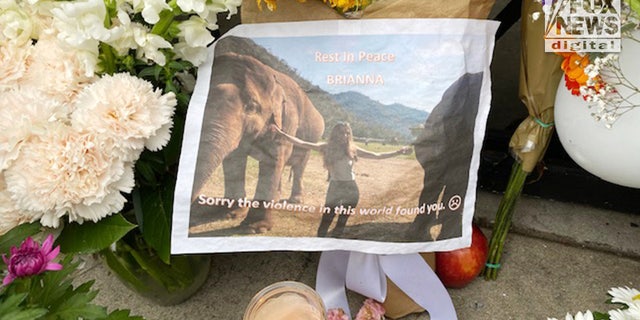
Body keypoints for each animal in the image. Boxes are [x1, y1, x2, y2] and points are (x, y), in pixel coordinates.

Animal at [188, 51, 322, 234]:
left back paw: (295, 201)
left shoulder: (287, 121)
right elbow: (234, 159)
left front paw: (254, 228)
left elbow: (274, 158)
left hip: (311, 139)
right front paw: (231, 214)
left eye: (252, 107)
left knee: (299, 166)